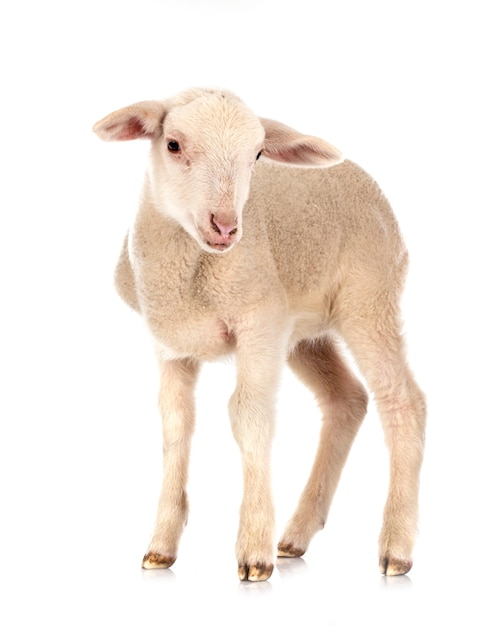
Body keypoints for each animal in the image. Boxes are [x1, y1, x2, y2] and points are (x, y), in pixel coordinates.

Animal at [93, 88, 426, 580]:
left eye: (257, 154)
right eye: (173, 144)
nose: (226, 226)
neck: (190, 274)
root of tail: (358, 173)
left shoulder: (259, 324)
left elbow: (248, 416)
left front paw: (253, 551)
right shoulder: (169, 343)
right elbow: (175, 426)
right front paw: (160, 547)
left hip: (368, 297)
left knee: (402, 400)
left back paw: (396, 548)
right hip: (305, 331)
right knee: (346, 399)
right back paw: (295, 536)